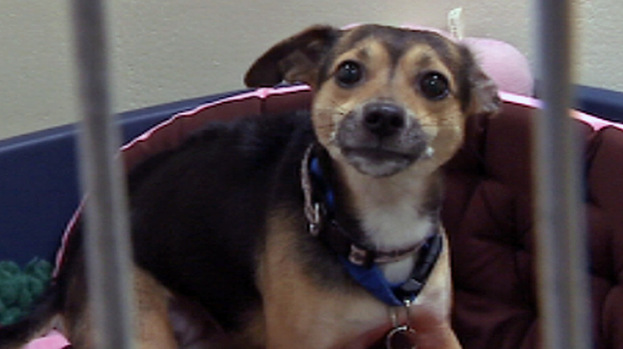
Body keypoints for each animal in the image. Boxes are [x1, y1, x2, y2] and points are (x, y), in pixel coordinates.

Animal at [0, 25, 498, 348]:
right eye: (349, 72)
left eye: (434, 83)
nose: (383, 117)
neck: (380, 219)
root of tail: (70, 263)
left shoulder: (434, 328)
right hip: (140, 327)